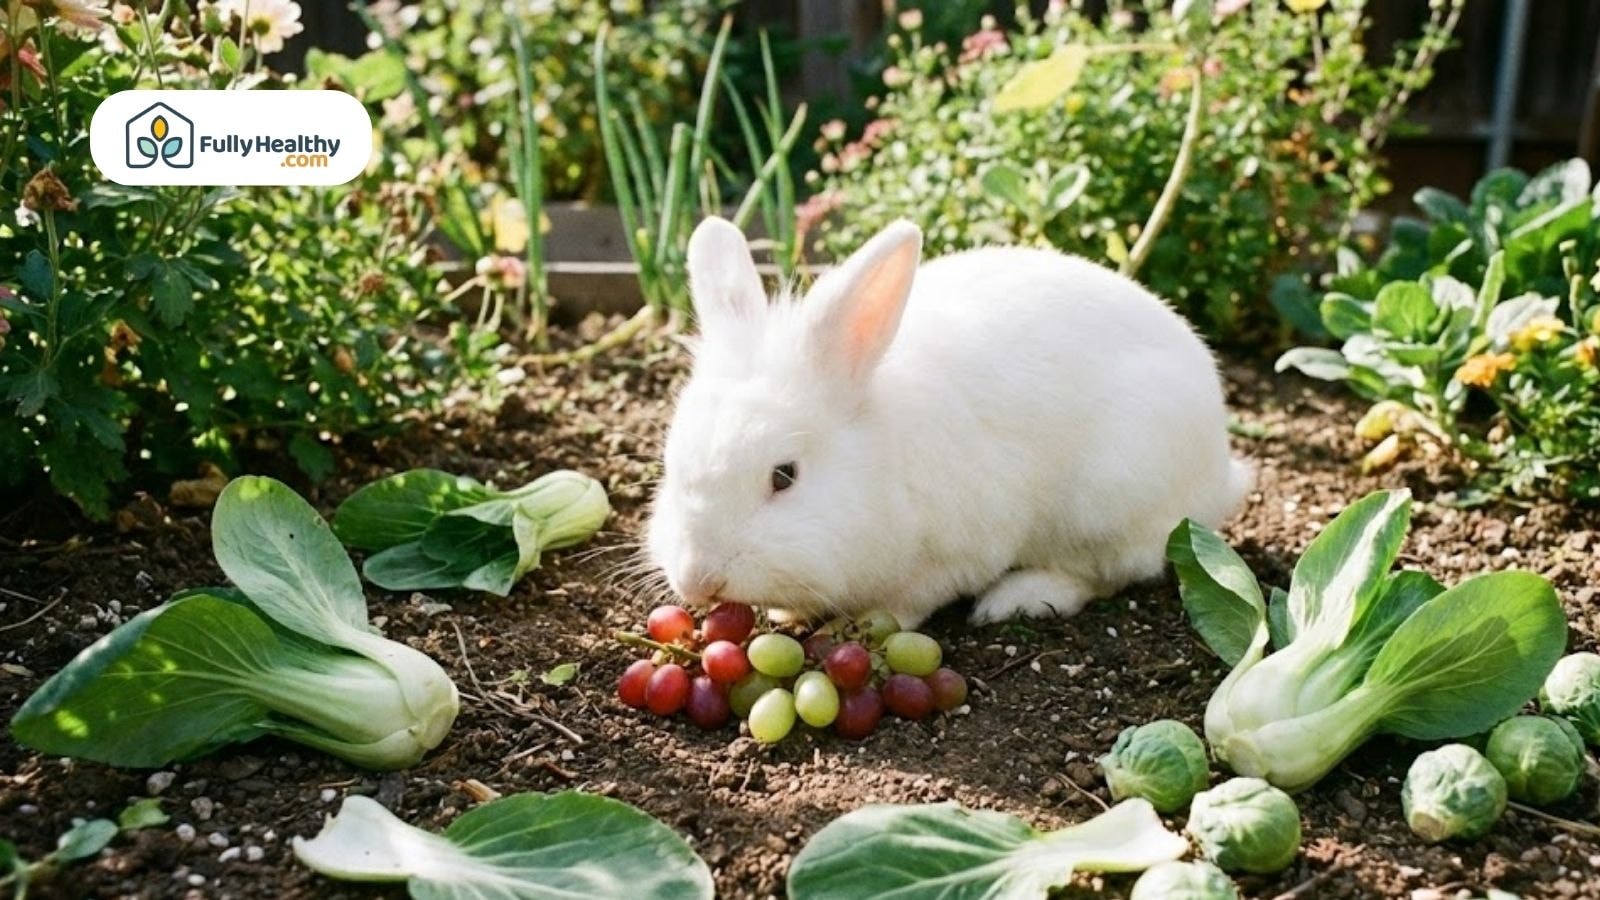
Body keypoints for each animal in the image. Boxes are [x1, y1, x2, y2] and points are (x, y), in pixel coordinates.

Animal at [645, 216, 1252, 629]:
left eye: (784, 476)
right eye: (671, 468)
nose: (698, 579)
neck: (879, 462)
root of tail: (1218, 474)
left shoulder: (953, 556)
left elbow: (908, 603)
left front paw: (857, 625)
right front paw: (783, 615)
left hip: (1109, 500)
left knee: (1106, 571)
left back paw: (1017, 599)